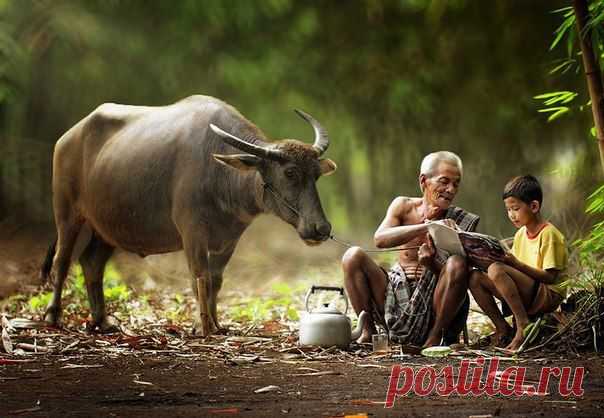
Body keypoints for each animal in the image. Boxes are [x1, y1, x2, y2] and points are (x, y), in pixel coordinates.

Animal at [40, 95, 338, 336]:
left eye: (316, 175)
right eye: (290, 172)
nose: (321, 228)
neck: (219, 174)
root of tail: (67, 137)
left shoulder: (229, 240)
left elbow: (215, 280)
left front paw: (216, 324)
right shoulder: (192, 232)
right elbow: (199, 277)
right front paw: (201, 326)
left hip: (107, 228)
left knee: (92, 263)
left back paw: (102, 321)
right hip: (67, 213)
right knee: (62, 260)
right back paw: (53, 317)